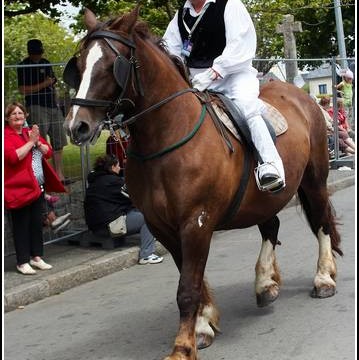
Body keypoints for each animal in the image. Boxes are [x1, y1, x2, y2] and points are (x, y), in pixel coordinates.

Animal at [64, 6, 344, 360]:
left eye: (111, 63)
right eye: (79, 65)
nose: (77, 127)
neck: (166, 138)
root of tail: (300, 96)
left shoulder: (196, 222)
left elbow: (188, 287)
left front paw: (183, 346)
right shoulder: (162, 226)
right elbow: (191, 279)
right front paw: (202, 325)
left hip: (314, 180)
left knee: (321, 222)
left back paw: (323, 278)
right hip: (263, 199)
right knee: (272, 227)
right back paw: (265, 283)